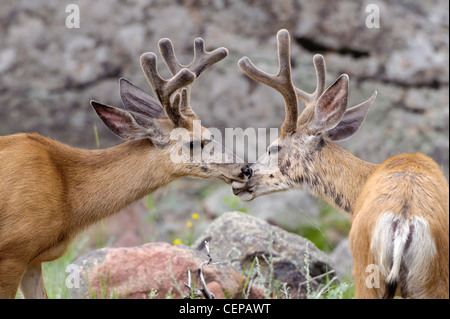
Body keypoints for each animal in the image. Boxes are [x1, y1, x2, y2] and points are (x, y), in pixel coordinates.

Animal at [0, 38, 253, 300]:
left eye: (211, 133)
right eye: (193, 142)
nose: (245, 168)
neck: (67, 193)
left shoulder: (32, 260)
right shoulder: (12, 251)